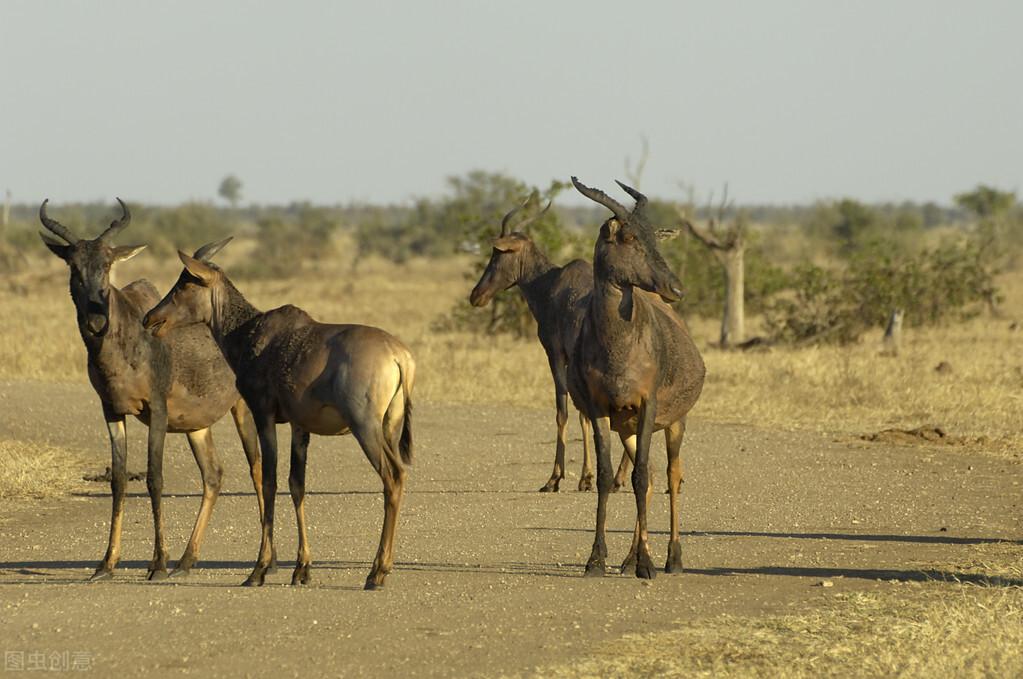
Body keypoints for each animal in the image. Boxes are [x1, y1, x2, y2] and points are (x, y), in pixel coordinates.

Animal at [38, 199, 268, 580]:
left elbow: (154, 477)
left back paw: (263, 563)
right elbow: (118, 480)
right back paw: (186, 562)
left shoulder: (156, 409)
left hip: (244, 409)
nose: (96, 322)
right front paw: (105, 565)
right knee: (213, 475)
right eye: (73, 265)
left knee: (258, 470)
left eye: (108, 264)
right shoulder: (111, 410)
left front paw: (158, 563)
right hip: (196, 425)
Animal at [144, 242, 415, 589]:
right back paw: (382, 569)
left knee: (392, 477)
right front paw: (301, 570)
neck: (252, 331)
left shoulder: (263, 414)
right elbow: (296, 484)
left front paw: (258, 570)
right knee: (398, 477)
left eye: (185, 283)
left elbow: (269, 481)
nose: (150, 318)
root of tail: (399, 357)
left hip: (365, 427)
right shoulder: (300, 426)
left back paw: (375, 573)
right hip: (389, 427)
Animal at [468, 196, 634, 492]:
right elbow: (583, 414)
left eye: (498, 254)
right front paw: (585, 478)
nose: (476, 295)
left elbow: (563, 410)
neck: (551, 284)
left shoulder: (555, 354)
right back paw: (620, 478)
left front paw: (555, 479)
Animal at [568, 178, 703, 576]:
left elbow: (639, 476)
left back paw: (671, 559)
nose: (676, 289)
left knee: (671, 476)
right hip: (626, 428)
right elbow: (607, 477)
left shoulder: (648, 405)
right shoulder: (599, 409)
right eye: (628, 237)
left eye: (653, 235)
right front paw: (596, 560)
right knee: (650, 477)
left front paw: (648, 565)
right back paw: (630, 559)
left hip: (675, 423)